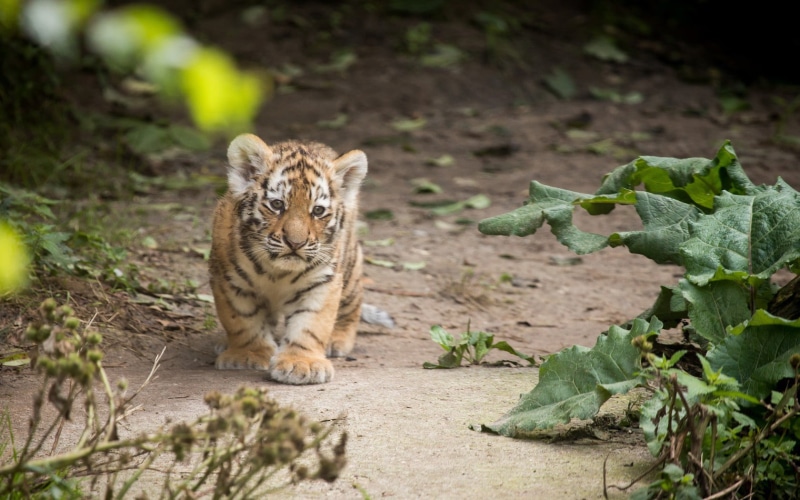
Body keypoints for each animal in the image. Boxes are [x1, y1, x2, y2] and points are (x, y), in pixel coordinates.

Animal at [209, 133, 392, 385]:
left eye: (318, 211)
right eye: (277, 204)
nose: (295, 243)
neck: (277, 272)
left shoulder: (322, 282)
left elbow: (310, 325)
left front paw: (301, 363)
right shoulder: (229, 281)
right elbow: (243, 321)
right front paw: (247, 355)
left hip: (350, 270)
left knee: (351, 306)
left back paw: (337, 339)